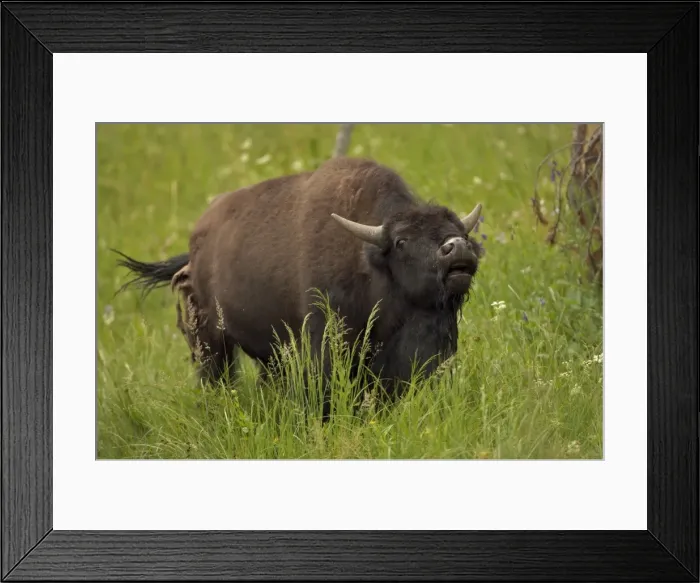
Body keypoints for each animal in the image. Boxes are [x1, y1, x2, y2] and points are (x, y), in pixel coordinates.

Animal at [115, 156, 483, 415]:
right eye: (402, 241)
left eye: (459, 233)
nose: (457, 248)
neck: (370, 263)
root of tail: (194, 248)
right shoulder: (326, 343)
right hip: (210, 341)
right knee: (216, 377)